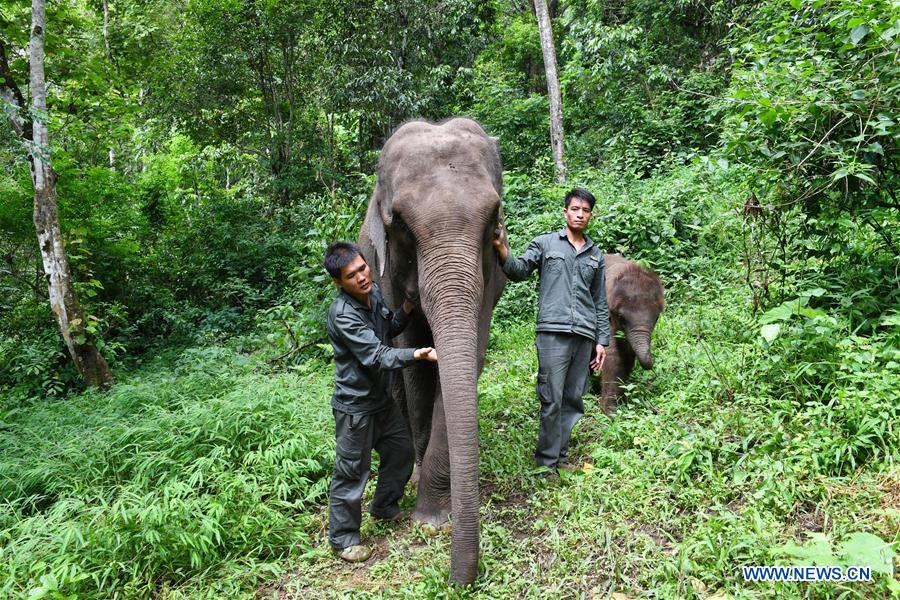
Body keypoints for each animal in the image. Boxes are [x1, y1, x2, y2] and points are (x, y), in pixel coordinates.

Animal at [358, 117, 506, 585]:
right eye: (400, 224)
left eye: (493, 218)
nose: (459, 581)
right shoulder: (386, 275)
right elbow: (413, 365)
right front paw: (427, 512)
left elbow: (470, 352)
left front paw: (432, 518)